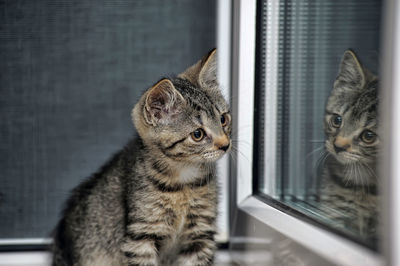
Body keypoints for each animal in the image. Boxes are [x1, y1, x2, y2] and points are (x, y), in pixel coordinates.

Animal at [52, 49, 231, 266]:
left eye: (223, 119)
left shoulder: (200, 233)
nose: (225, 144)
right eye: (198, 134)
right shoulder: (141, 236)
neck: (182, 182)